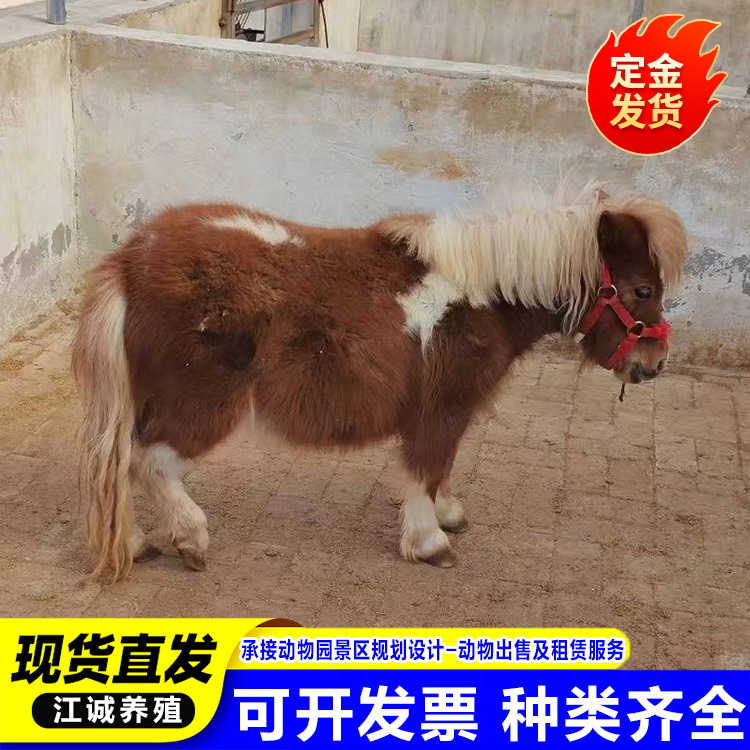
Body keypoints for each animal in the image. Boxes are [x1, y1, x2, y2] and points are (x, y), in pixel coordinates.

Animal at [72, 183, 687, 581]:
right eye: (640, 290)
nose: (654, 363)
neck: (480, 296)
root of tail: (131, 260)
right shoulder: (441, 409)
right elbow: (426, 469)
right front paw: (430, 542)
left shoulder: (445, 412)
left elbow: (440, 470)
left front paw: (446, 515)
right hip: (203, 401)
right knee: (149, 461)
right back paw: (191, 539)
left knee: (120, 462)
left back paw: (135, 542)